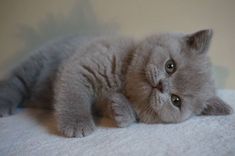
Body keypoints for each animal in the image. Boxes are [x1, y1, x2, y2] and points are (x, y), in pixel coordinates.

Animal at [0, 29, 232, 138]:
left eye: (176, 100)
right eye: (170, 66)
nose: (161, 86)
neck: (122, 80)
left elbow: (122, 112)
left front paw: (121, 109)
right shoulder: (82, 67)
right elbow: (74, 96)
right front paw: (77, 124)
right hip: (35, 64)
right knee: (14, 82)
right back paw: (5, 105)